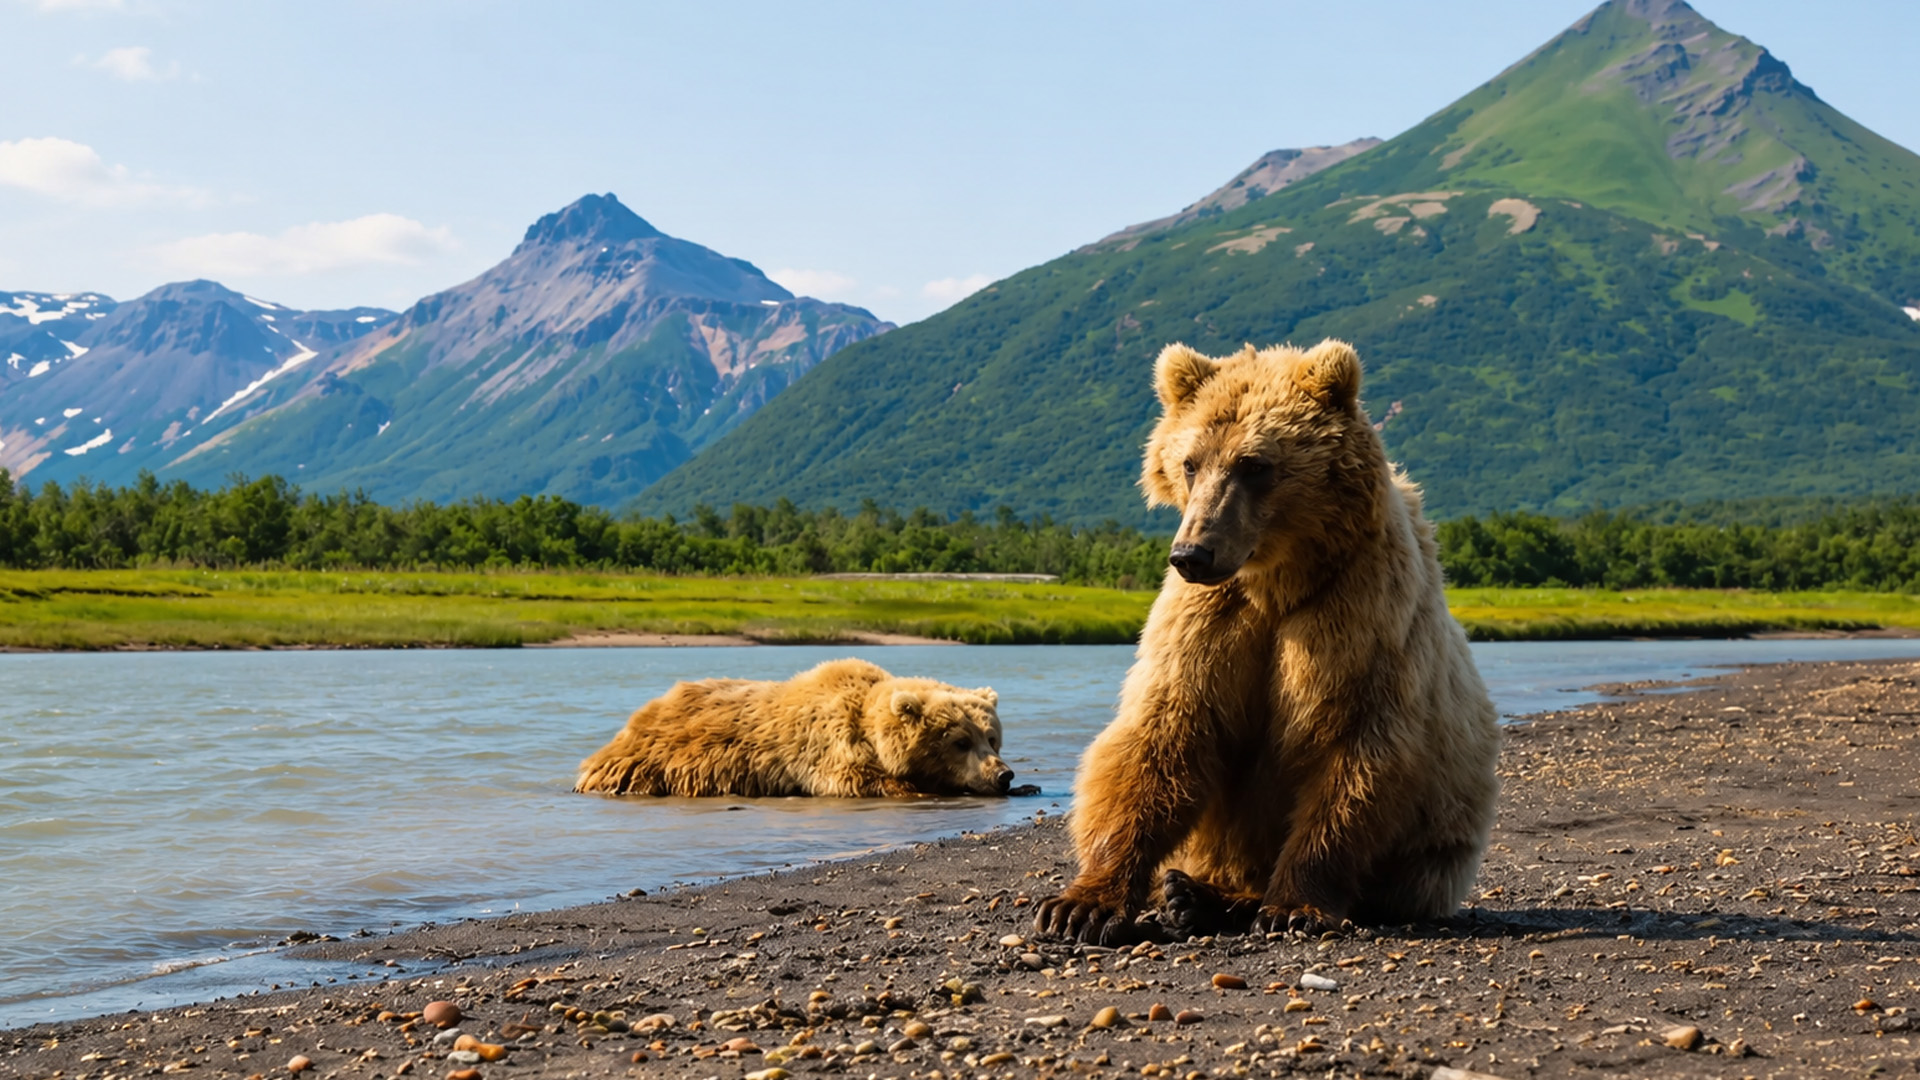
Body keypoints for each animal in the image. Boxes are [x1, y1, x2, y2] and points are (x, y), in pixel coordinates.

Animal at [574, 657, 1021, 798]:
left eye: (991, 737)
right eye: (960, 741)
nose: (1004, 774)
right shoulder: (825, 748)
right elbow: (857, 780)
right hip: (650, 765)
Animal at [1035, 339, 1501, 944]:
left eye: (1253, 465)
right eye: (1189, 462)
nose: (1192, 554)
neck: (1276, 581)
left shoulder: (1358, 617)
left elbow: (1350, 752)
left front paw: (1295, 907)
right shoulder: (1213, 623)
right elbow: (1165, 732)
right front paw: (1080, 905)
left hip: (1441, 837)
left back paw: (1217, 900)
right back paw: (1190, 894)